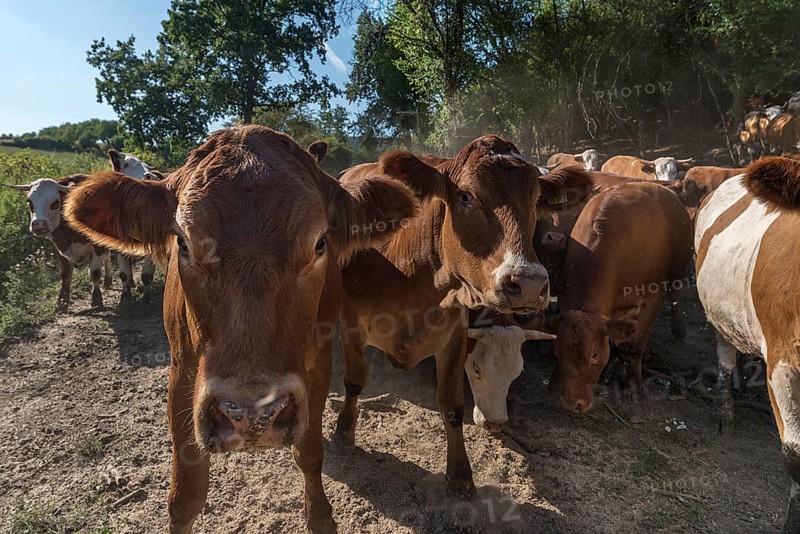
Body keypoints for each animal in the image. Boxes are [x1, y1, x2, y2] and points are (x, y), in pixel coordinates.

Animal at [2, 176, 112, 310]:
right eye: (30, 202)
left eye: (55, 203)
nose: (38, 224)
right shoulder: (60, 248)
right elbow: (65, 274)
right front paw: (62, 301)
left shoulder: (98, 247)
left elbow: (95, 272)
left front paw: (96, 298)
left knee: (107, 258)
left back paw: (108, 280)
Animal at [64, 125, 422, 533]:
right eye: (183, 242)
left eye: (319, 243)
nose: (251, 415)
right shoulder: (182, 371)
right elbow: (186, 494)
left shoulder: (316, 366)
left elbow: (309, 453)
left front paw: (320, 515)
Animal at [332, 138, 592, 497]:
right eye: (465, 196)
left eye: (536, 199)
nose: (528, 283)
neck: (414, 274)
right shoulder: (352, 323)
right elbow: (355, 381)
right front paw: (343, 433)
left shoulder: (455, 336)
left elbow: (452, 406)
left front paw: (459, 474)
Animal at [546, 181, 693, 413]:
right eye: (557, 352)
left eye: (594, 355)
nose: (573, 404)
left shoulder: (651, 298)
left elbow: (637, 344)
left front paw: (632, 382)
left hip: (678, 270)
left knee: (675, 296)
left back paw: (679, 329)